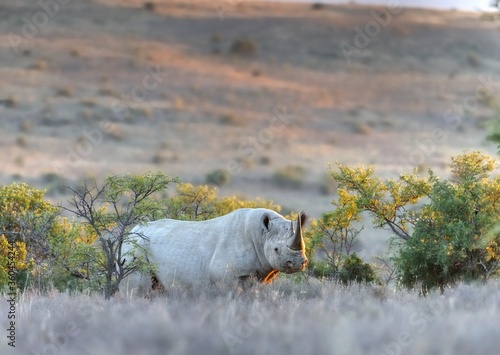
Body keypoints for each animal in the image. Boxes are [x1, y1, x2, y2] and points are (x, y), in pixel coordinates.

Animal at [121, 209, 308, 294]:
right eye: (276, 250)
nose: (298, 263)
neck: (261, 236)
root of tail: (131, 231)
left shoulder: (261, 276)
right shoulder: (226, 276)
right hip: (134, 247)